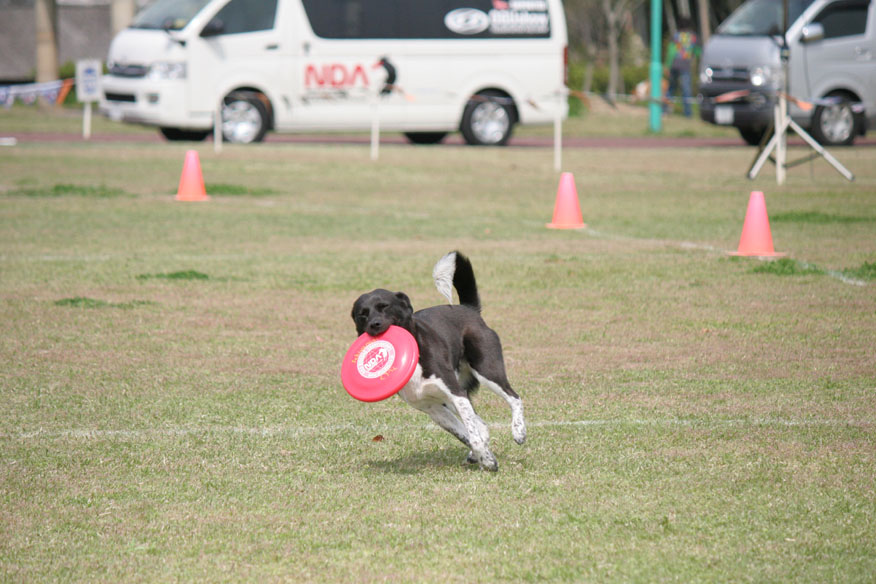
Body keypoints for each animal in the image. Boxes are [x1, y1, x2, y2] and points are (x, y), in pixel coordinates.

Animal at [350, 251, 528, 470]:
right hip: (453, 397)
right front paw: (485, 457)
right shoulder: (432, 407)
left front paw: (486, 458)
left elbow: (473, 436)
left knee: (514, 397)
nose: (374, 324)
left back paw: (519, 431)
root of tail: (469, 309)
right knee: (482, 424)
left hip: (486, 369)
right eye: (362, 315)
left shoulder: (456, 394)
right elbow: (467, 435)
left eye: (384, 307)